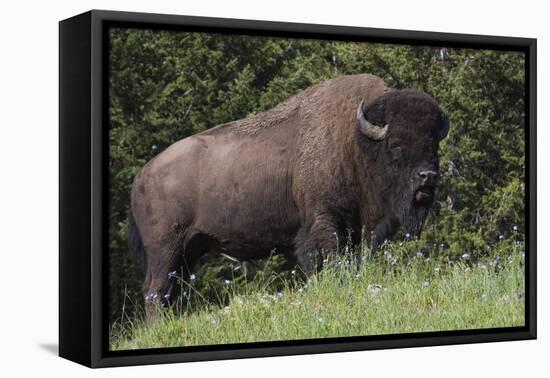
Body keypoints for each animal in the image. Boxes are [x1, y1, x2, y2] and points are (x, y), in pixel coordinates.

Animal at [128, 72, 448, 314]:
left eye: (433, 143)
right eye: (396, 145)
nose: (427, 177)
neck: (357, 142)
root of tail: (141, 177)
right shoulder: (324, 220)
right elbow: (325, 259)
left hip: (189, 249)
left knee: (171, 290)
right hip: (166, 249)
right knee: (156, 289)